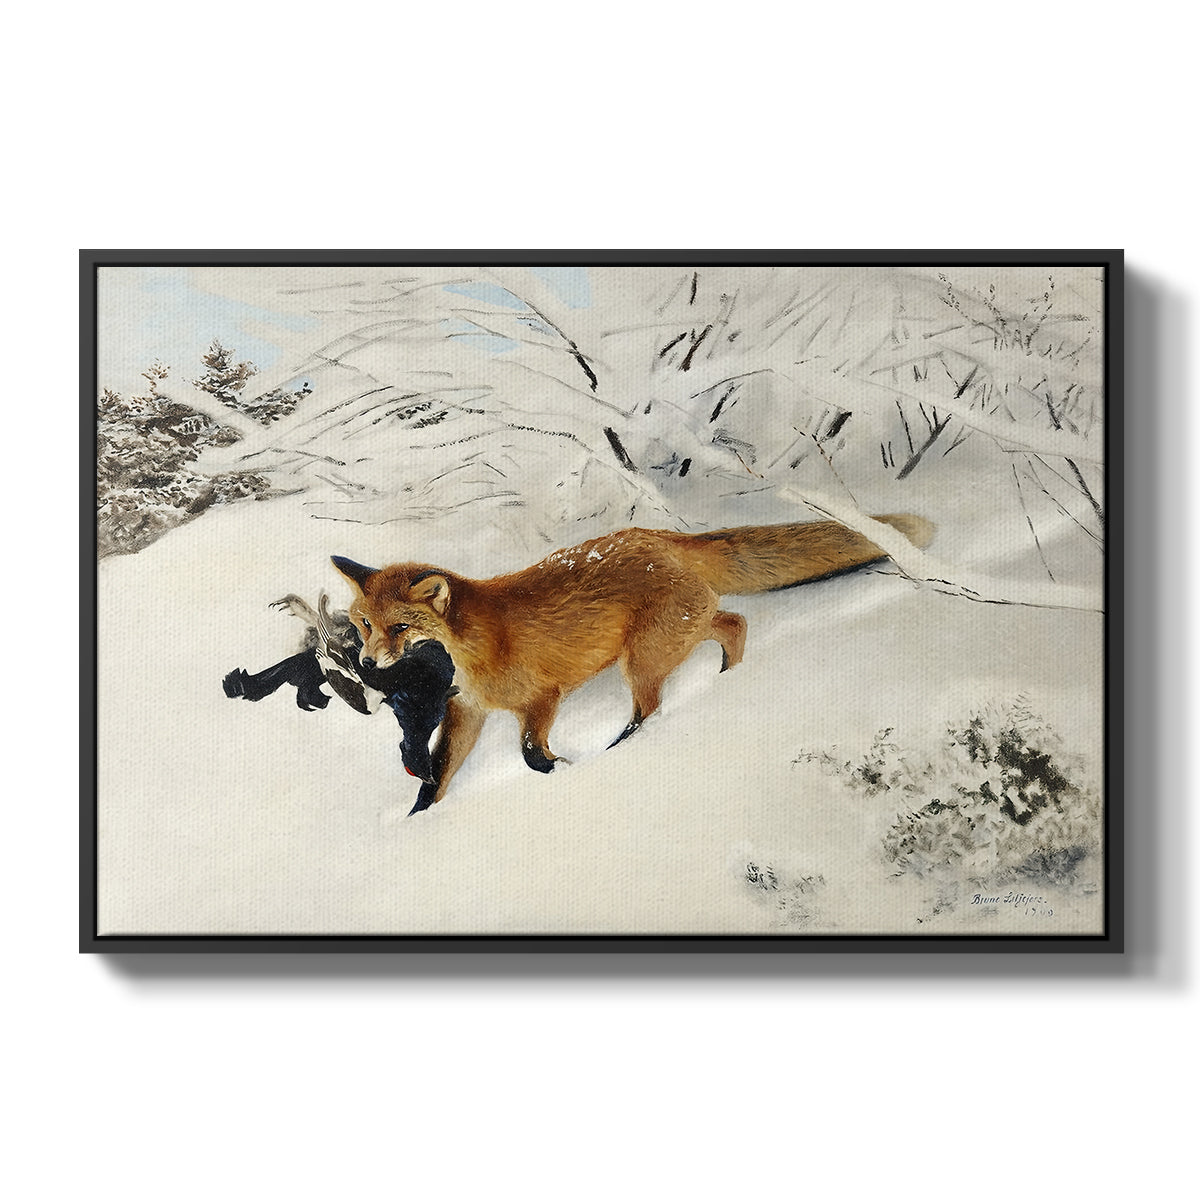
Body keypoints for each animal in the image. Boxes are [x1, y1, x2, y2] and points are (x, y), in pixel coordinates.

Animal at [332, 514, 934, 815]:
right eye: (364, 623)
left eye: (400, 628)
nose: (366, 661)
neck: (473, 648)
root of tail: (659, 537)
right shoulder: (468, 712)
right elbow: (437, 777)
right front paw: (417, 821)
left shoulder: (542, 698)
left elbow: (530, 754)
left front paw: (564, 770)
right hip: (676, 635)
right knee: (734, 622)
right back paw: (729, 678)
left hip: (642, 659)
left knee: (653, 707)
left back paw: (625, 747)